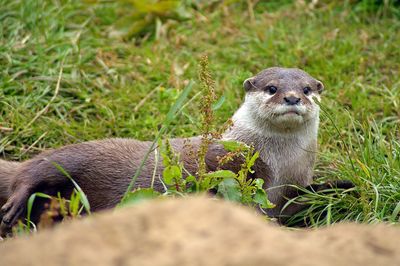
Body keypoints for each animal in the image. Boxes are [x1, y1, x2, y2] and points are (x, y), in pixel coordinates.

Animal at [0, 67, 350, 235]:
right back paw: (14, 204)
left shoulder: (292, 188)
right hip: (74, 157)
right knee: (33, 170)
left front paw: (341, 189)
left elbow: (298, 206)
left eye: (307, 89)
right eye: (272, 88)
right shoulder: (221, 161)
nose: (292, 97)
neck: (277, 165)